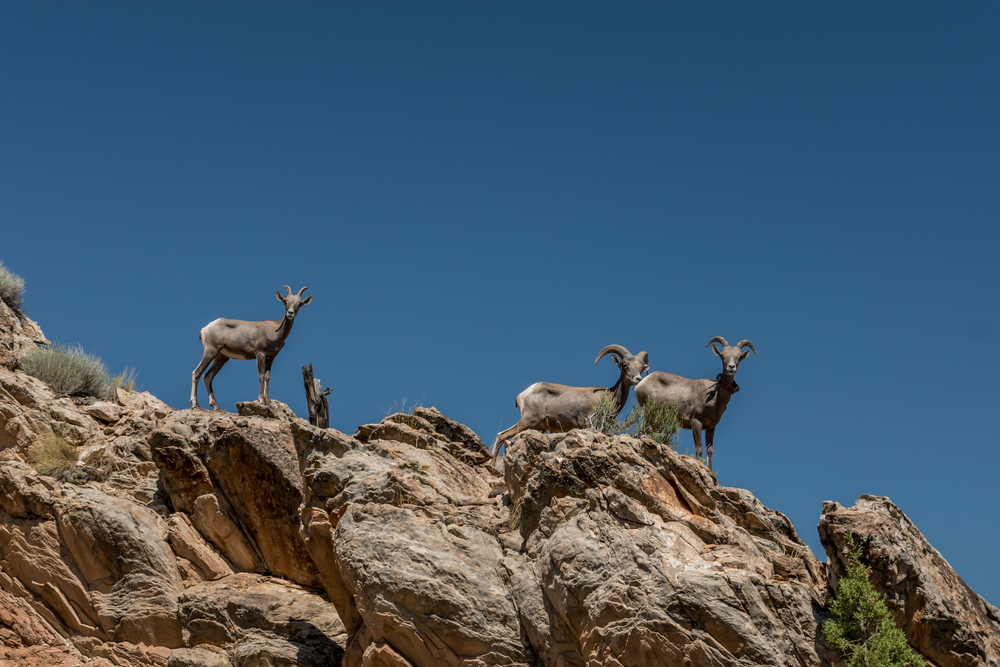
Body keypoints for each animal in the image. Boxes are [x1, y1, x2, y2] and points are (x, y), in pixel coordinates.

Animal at [490, 344, 648, 464]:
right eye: (625, 365)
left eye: (641, 368)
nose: (638, 379)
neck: (609, 395)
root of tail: (523, 394)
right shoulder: (589, 423)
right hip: (528, 421)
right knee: (501, 435)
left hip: (536, 426)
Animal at [636, 336, 752, 472]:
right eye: (723, 356)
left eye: (739, 357)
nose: (731, 367)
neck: (716, 398)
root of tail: (640, 383)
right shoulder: (696, 421)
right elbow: (699, 448)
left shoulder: (711, 427)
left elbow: (709, 451)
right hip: (647, 412)